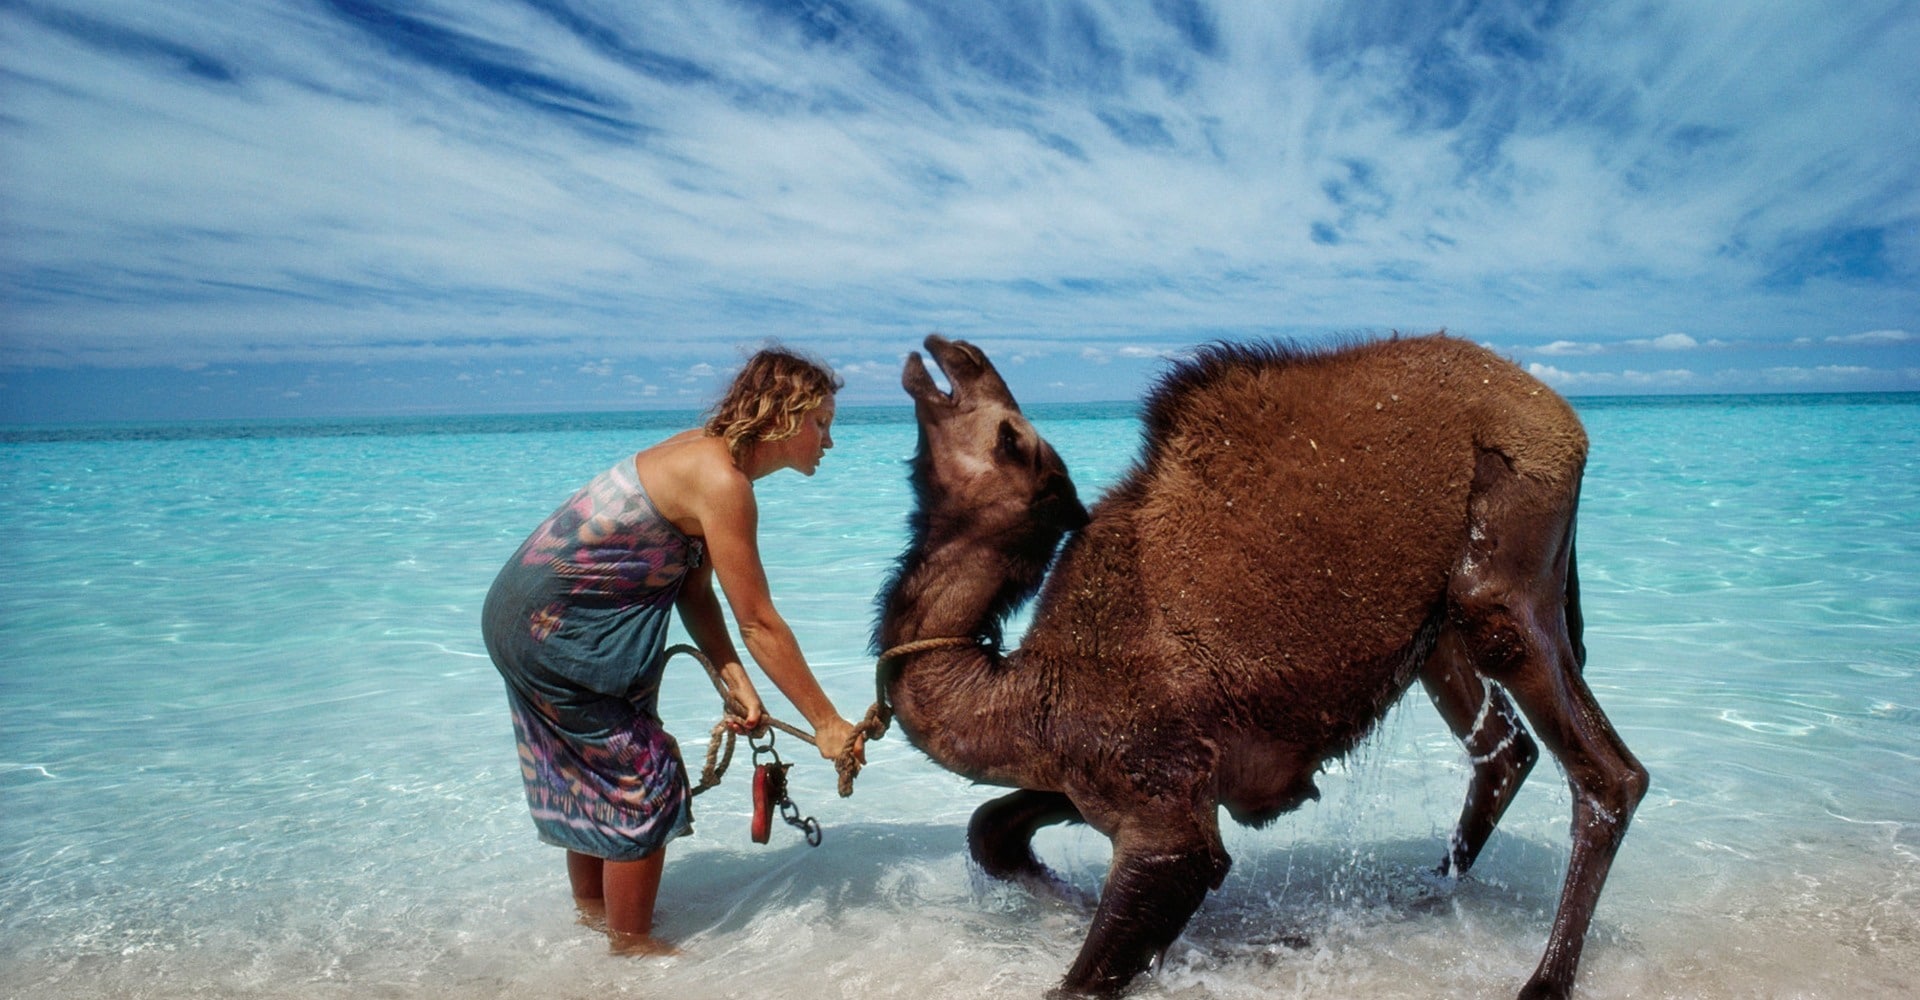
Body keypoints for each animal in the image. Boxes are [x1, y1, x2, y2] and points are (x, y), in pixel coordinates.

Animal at [879, 332, 1651, 990]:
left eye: (1010, 438)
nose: (950, 351)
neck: (1031, 698)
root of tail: (1560, 415)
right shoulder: (1119, 772)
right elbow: (990, 830)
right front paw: (1070, 902)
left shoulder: (1159, 796)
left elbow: (1089, 966)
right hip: (1442, 628)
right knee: (1506, 749)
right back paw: (1425, 892)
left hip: (1507, 547)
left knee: (1609, 773)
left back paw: (1543, 980)